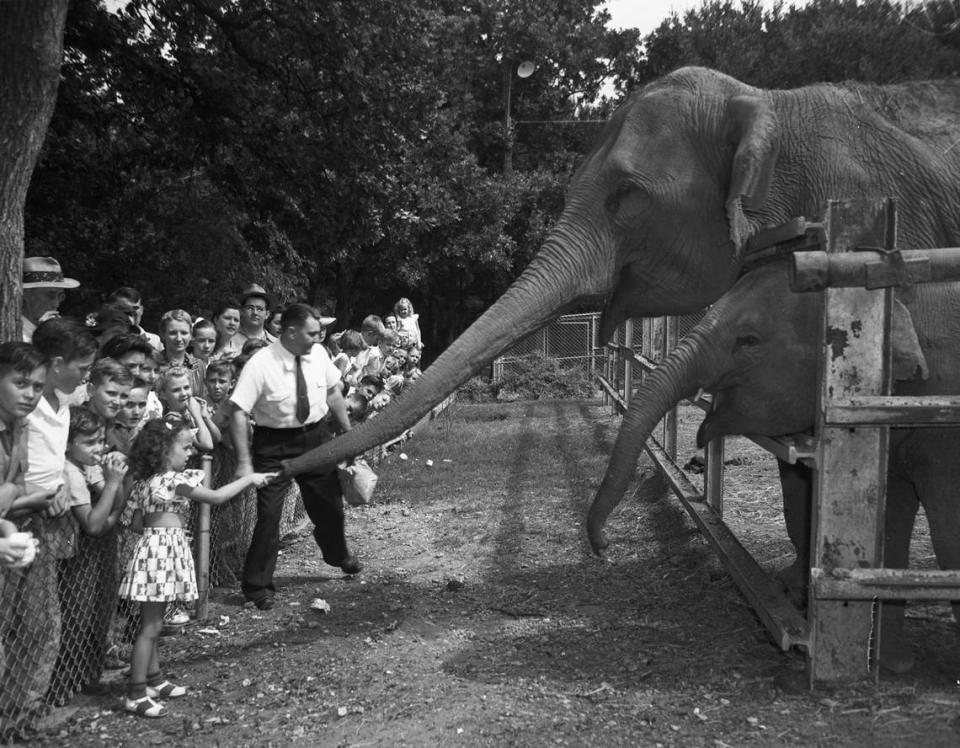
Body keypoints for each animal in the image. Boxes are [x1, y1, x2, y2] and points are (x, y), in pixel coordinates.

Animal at [584, 258, 960, 672]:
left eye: (748, 340)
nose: (604, 548)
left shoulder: (943, 428)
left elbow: (947, 533)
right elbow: (888, 534)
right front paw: (894, 666)